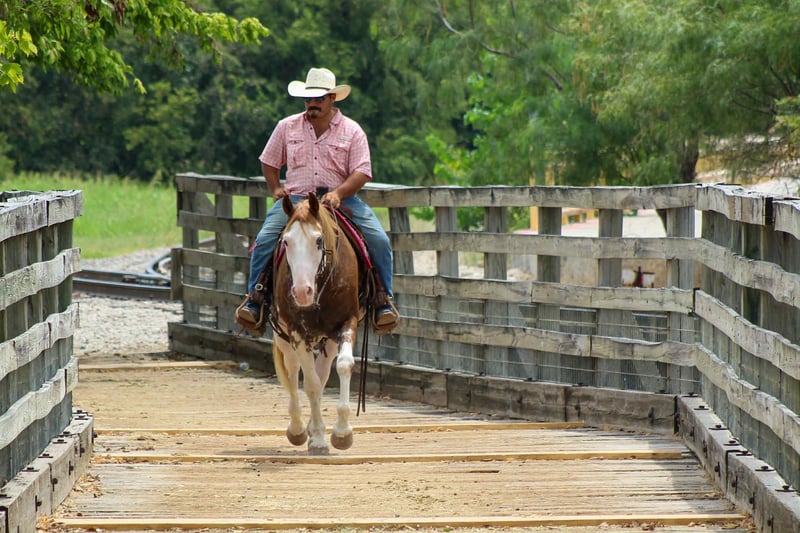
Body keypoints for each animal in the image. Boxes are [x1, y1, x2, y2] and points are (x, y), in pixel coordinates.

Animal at [270, 192, 364, 455]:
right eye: (286, 242)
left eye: (319, 240)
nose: (302, 292)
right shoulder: (297, 332)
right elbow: (310, 383)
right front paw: (320, 439)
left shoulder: (347, 323)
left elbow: (343, 366)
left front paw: (342, 432)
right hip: (284, 338)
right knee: (293, 371)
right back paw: (298, 429)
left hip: (327, 340)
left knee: (322, 372)